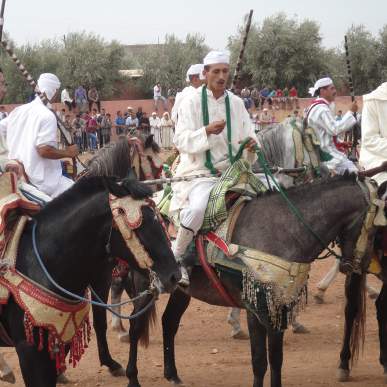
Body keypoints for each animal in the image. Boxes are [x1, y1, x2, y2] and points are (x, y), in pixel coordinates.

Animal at [114, 174, 370, 386]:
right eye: (369, 226)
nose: (356, 265)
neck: (281, 232)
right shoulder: (255, 309)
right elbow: (259, 361)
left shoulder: (279, 307)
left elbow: (276, 360)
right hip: (145, 287)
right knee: (136, 327)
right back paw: (131, 375)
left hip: (181, 291)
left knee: (169, 323)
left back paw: (172, 374)